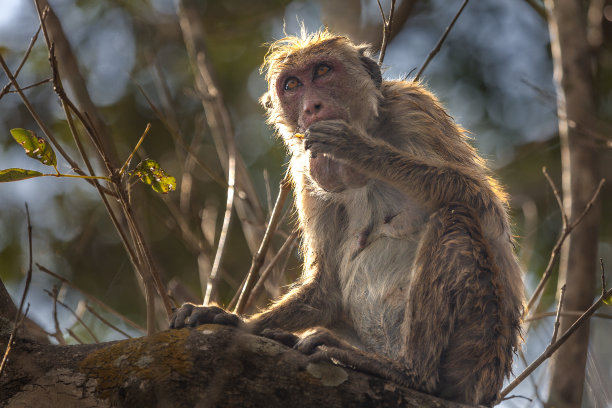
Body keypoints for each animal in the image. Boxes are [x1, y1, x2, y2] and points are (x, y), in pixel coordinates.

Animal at [170, 30, 524, 406]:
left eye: (323, 71)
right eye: (292, 85)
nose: (311, 108)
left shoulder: (414, 108)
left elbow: (482, 201)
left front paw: (359, 148)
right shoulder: (304, 170)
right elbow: (326, 287)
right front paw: (233, 321)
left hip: (477, 350)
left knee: (455, 221)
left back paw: (410, 373)